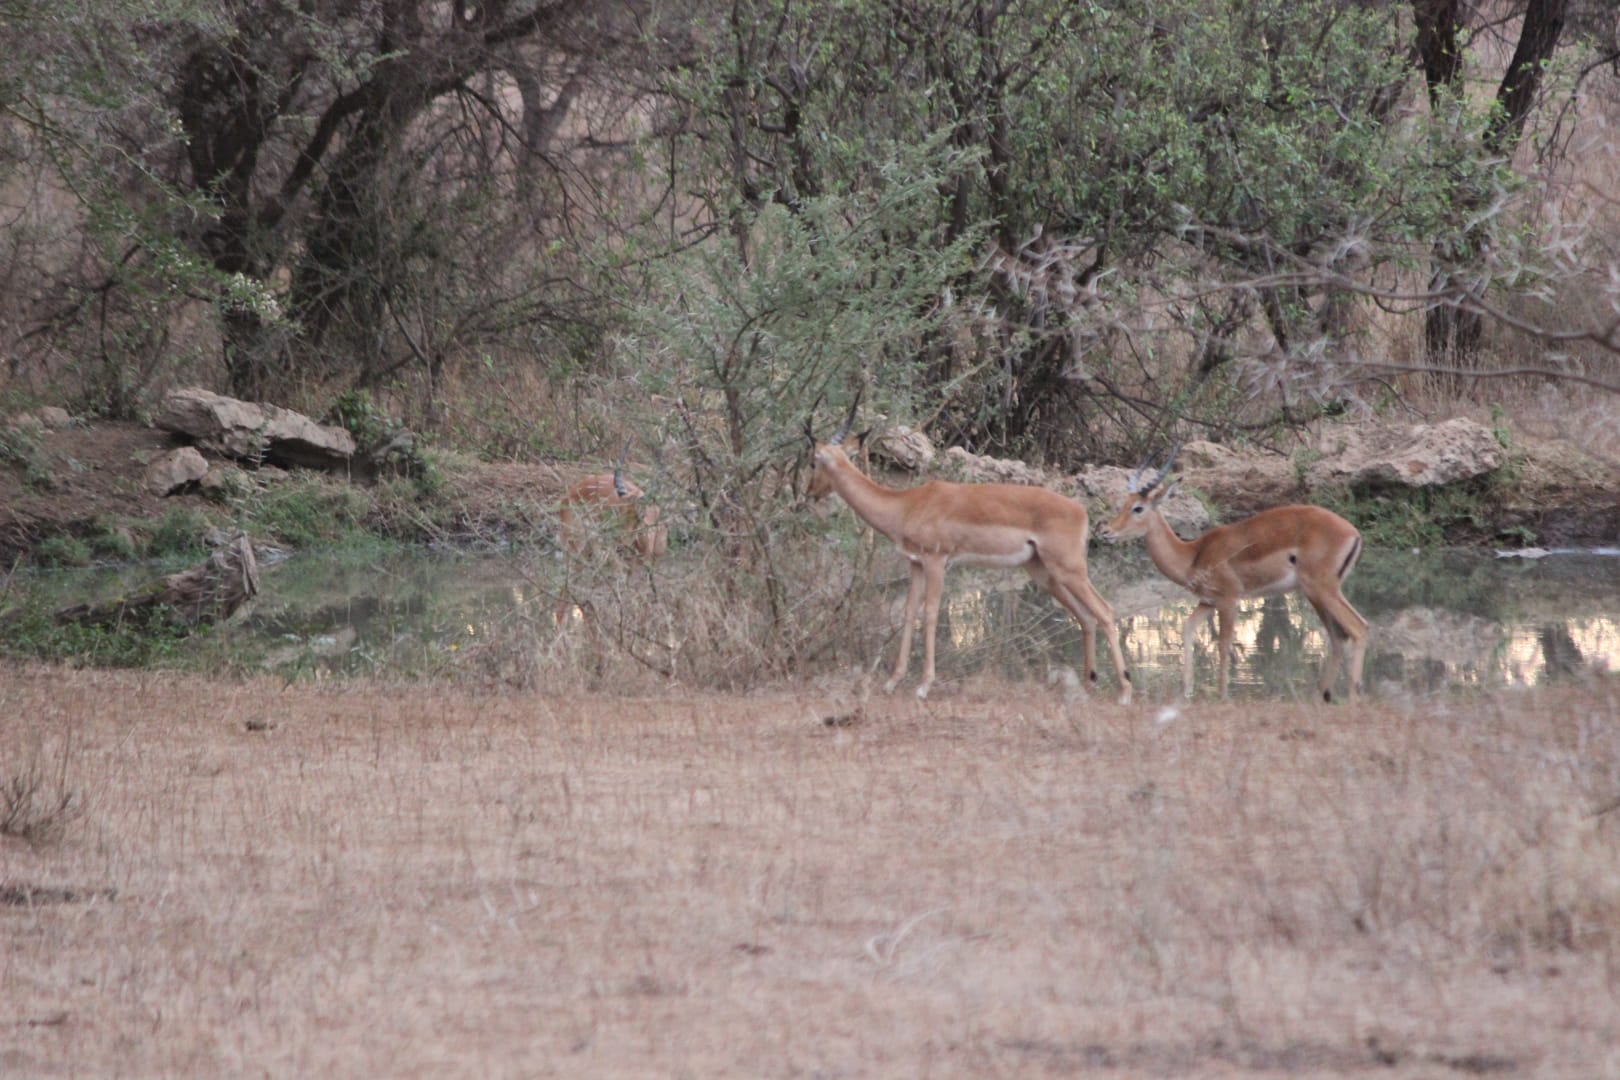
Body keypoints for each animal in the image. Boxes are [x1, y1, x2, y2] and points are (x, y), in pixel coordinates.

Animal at [806, 401, 1132, 703]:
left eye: (813, 462)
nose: (810, 494)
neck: (906, 505)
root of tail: (1081, 511)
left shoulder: (936, 561)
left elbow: (931, 613)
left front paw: (923, 686)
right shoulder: (915, 563)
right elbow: (909, 612)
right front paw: (892, 682)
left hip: (1069, 569)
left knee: (1105, 611)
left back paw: (1124, 692)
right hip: (1044, 574)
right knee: (1086, 617)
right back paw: (1088, 685)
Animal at [1099, 446, 1368, 703]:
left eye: (1138, 508)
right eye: (1123, 504)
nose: (1105, 532)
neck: (1193, 554)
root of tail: (1353, 533)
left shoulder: (1229, 600)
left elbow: (1222, 645)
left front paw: (1221, 696)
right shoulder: (1207, 602)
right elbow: (1187, 629)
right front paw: (1186, 692)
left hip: (1323, 590)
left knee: (1359, 627)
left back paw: (1353, 698)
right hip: (1316, 595)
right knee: (1338, 637)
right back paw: (1322, 696)